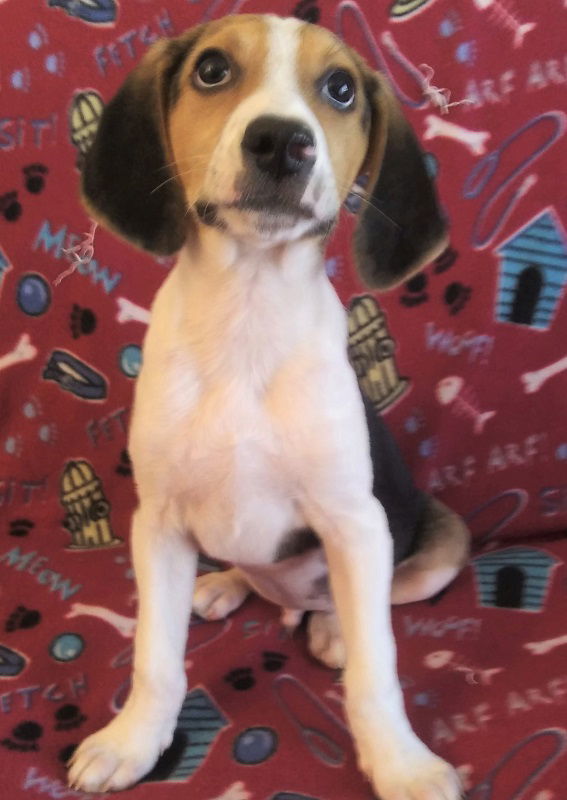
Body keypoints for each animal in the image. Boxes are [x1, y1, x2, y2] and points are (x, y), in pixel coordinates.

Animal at [69, 14, 470, 800]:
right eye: (212, 70)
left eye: (341, 88)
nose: (282, 141)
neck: (246, 313)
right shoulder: (156, 522)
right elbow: (154, 658)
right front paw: (133, 741)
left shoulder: (354, 519)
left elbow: (378, 672)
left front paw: (401, 764)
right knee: (252, 576)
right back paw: (225, 584)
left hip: (437, 544)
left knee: (368, 601)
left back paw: (333, 627)